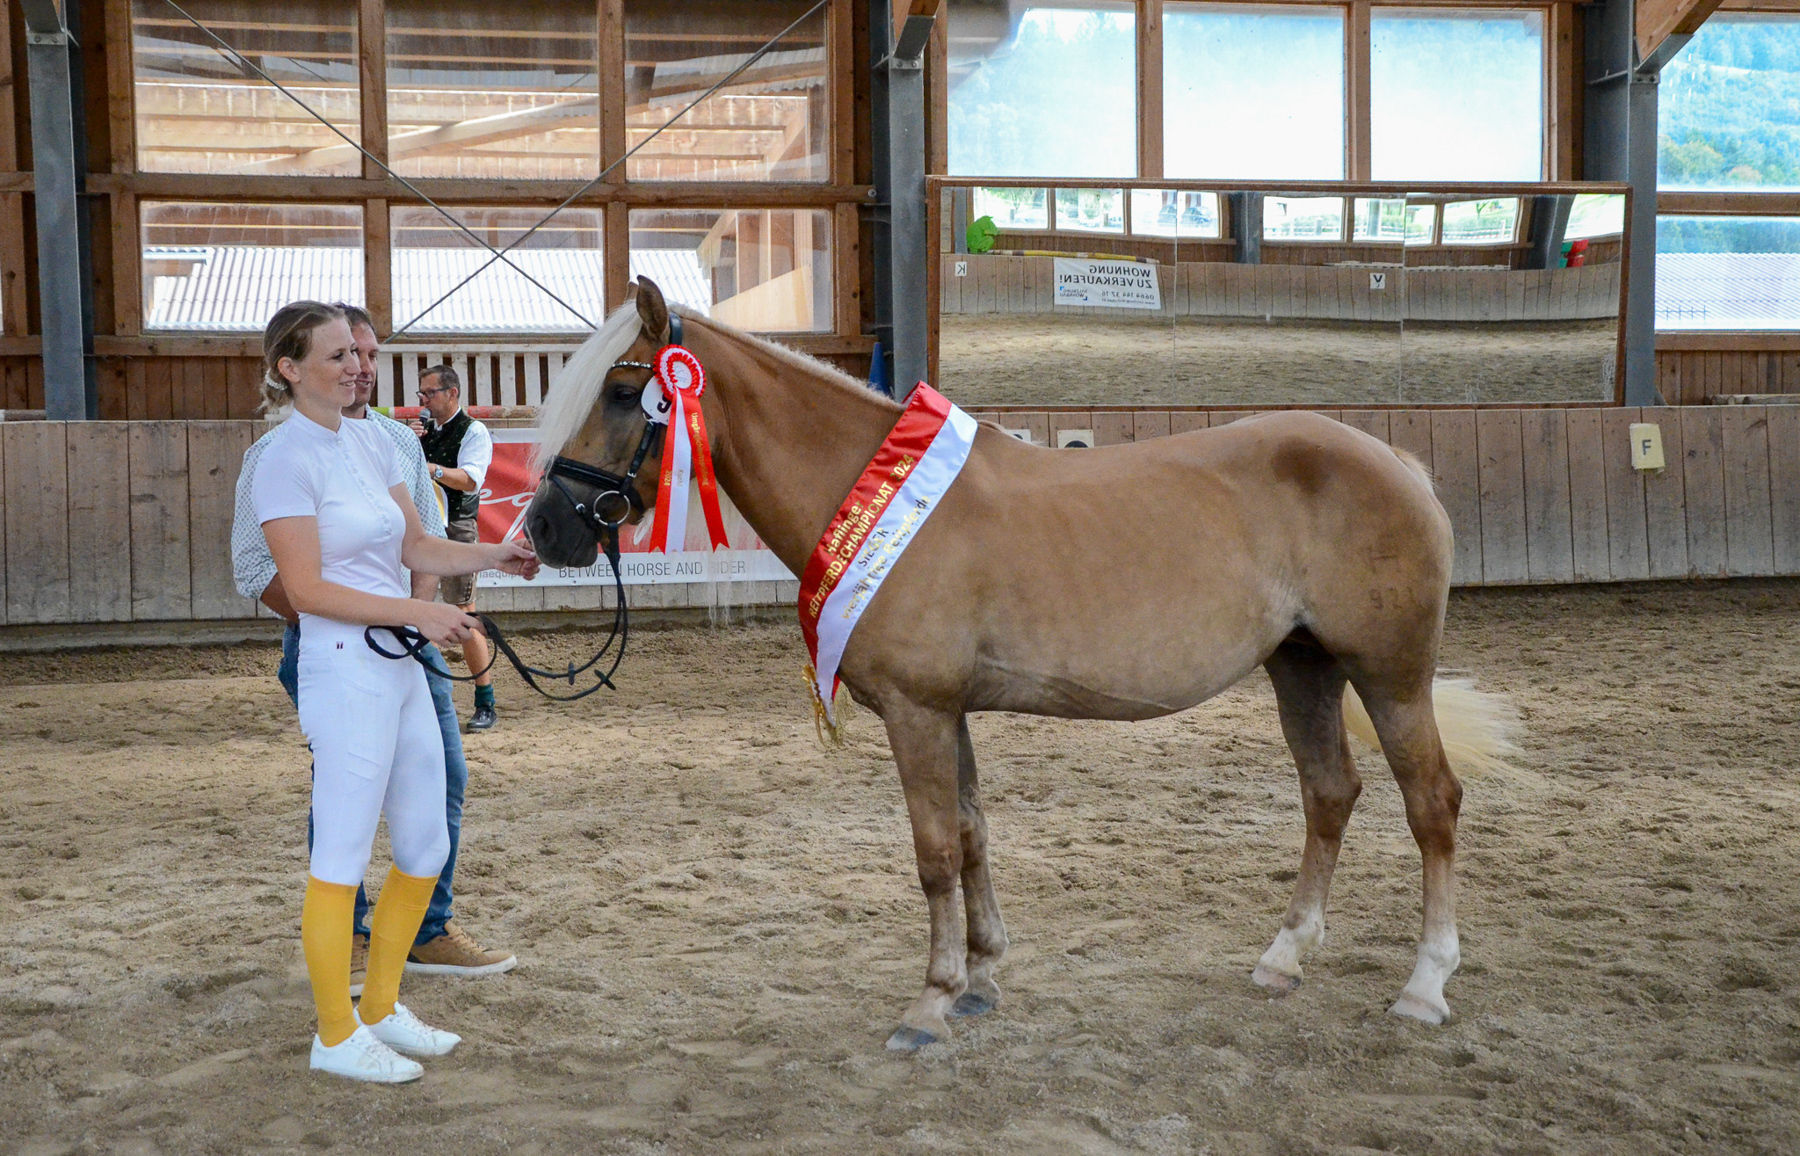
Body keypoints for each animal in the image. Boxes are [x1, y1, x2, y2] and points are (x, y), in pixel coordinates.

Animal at [529, 277, 1519, 1044]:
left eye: (621, 392)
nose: (544, 528)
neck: (882, 493)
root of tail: (1394, 459)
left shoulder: (919, 713)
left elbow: (933, 851)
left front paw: (929, 1004)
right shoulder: (946, 711)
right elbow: (971, 836)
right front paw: (980, 980)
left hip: (1390, 677)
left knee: (1432, 804)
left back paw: (1424, 986)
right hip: (1303, 669)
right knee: (1329, 794)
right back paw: (1284, 956)